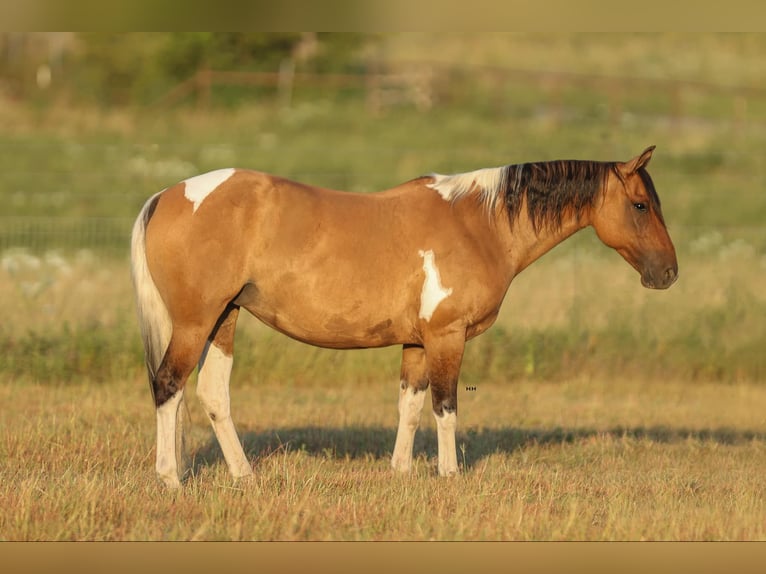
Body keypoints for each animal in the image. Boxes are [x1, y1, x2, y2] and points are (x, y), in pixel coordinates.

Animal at [130, 145, 677, 488]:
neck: (479, 224)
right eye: (640, 205)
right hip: (196, 323)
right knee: (169, 385)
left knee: (211, 394)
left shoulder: (416, 343)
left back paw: (244, 476)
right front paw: (449, 475)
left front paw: (401, 473)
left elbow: (409, 406)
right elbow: (445, 406)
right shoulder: (446, 337)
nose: (668, 273)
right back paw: (170, 478)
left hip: (224, 319)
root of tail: (166, 195)